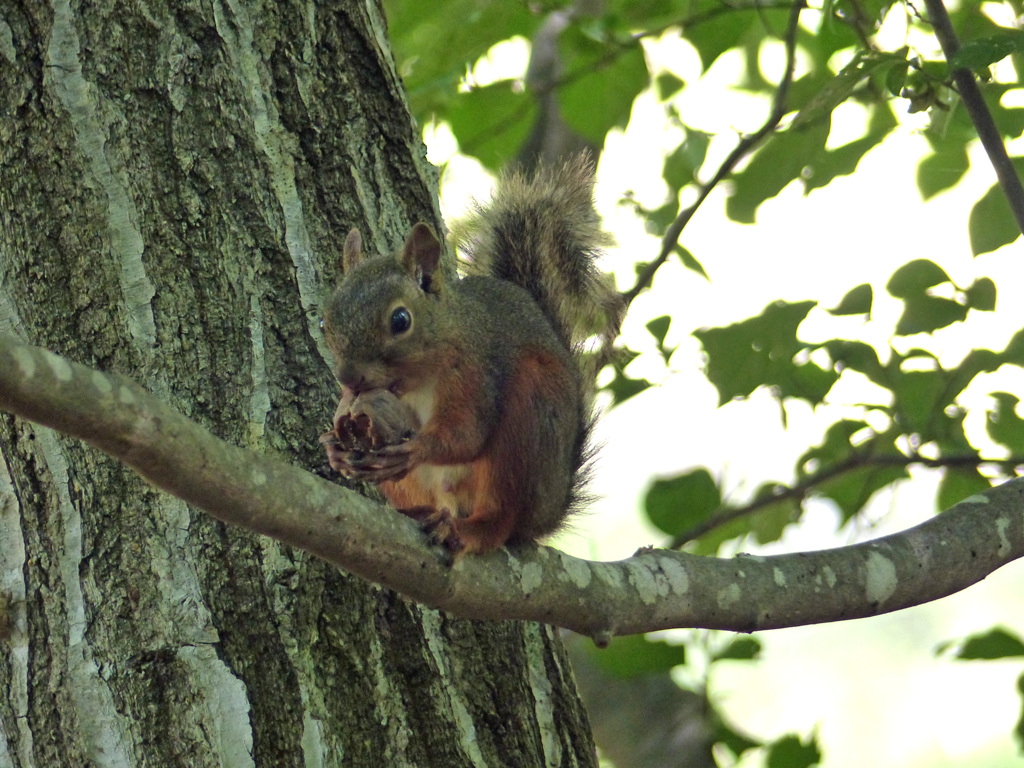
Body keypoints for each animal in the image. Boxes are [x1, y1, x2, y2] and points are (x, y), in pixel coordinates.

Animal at [319, 156, 614, 557]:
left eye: (401, 320)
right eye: (323, 321)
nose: (349, 379)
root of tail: (550, 510)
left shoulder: (474, 372)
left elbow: (466, 433)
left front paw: (418, 448)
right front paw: (334, 447)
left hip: (528, 424)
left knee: (501, 518)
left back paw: (467, 529)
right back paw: (417, 512)